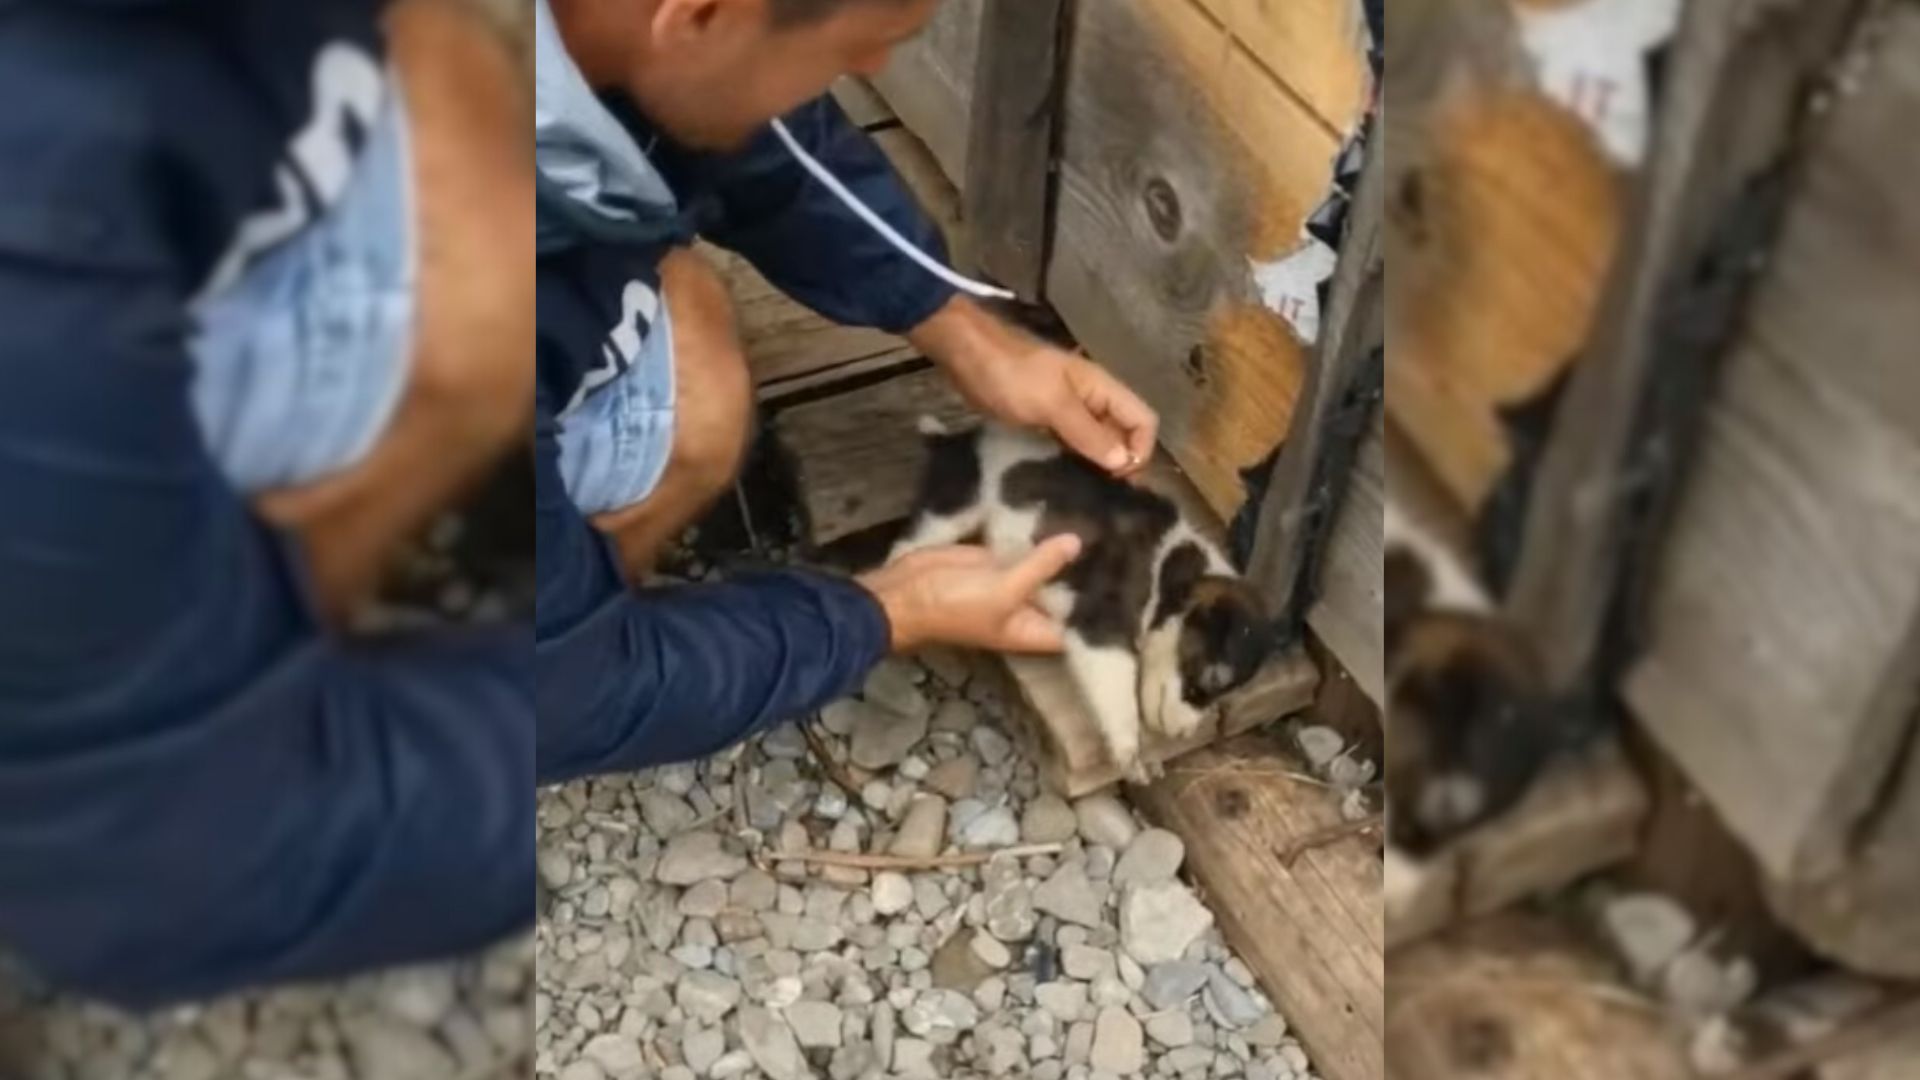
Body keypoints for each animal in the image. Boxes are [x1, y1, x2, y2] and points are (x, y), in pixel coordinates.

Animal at [890, 418, 1282, 772]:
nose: (1185, 735)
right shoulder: (1101, 628)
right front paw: (1128, 751)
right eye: (1208, 681)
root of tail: (953, 440)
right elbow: (1116, 692)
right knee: (908, 546)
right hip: (955, 505)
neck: (1168, 569)